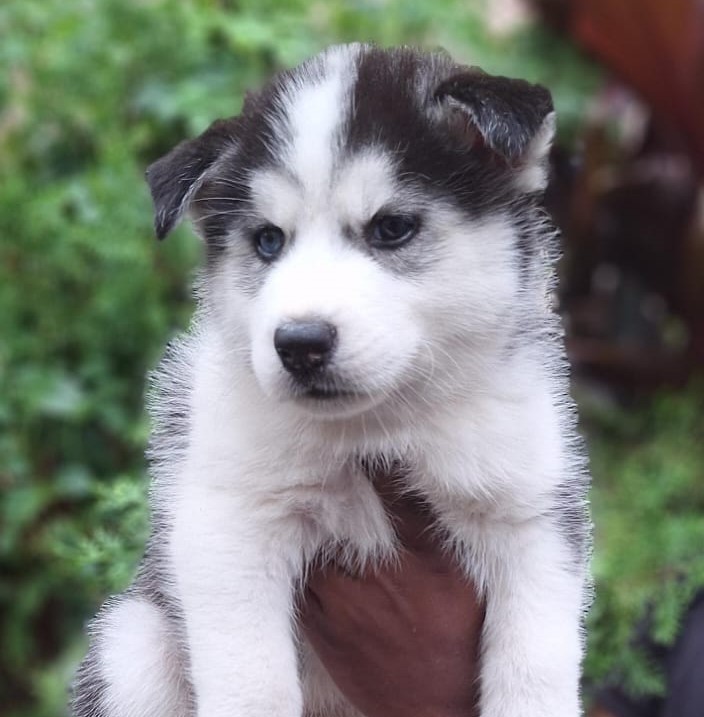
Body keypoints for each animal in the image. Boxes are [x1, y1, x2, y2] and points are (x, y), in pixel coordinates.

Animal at [71, 43, 592, 716]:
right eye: (268, 240)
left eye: (391, 227)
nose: (300, 344)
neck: (376, 426)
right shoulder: (228, 520)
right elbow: (252, 683)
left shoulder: (533, 516)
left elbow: (536, 666)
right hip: (131, 646)